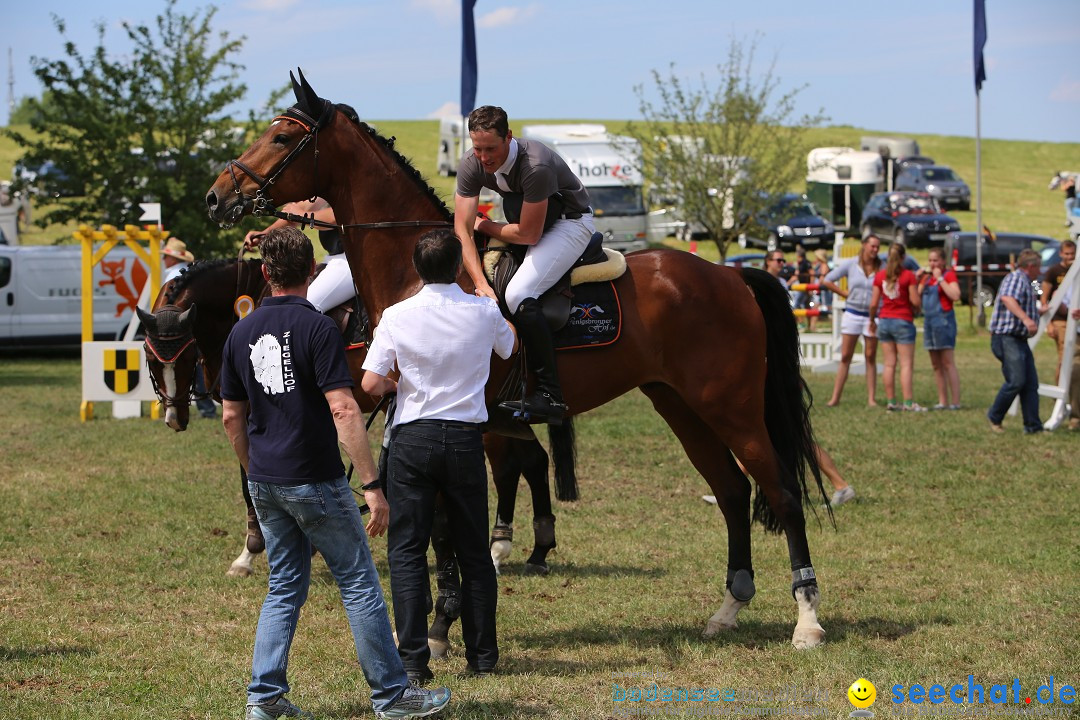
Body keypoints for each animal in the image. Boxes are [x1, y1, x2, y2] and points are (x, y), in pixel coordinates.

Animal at [140, 259, 578, 651]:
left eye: (182, 355)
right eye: (150, 357)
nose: (173, 417)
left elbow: (251, 481)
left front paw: (249, 551)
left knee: (508, 468)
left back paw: (505, 549)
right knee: (531, 462)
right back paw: (532, 548)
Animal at [203, 70, 825, 651]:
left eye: (282, 136)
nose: (215, 197)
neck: (417, 270)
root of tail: (730, 276)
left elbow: (449, 522)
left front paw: (441, 625)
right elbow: (442, 524)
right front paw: (441, 625)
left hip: (732, 408)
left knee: (781, 494)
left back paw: (807, 619)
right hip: (681, 406)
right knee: (732, 491)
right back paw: (729, 608)